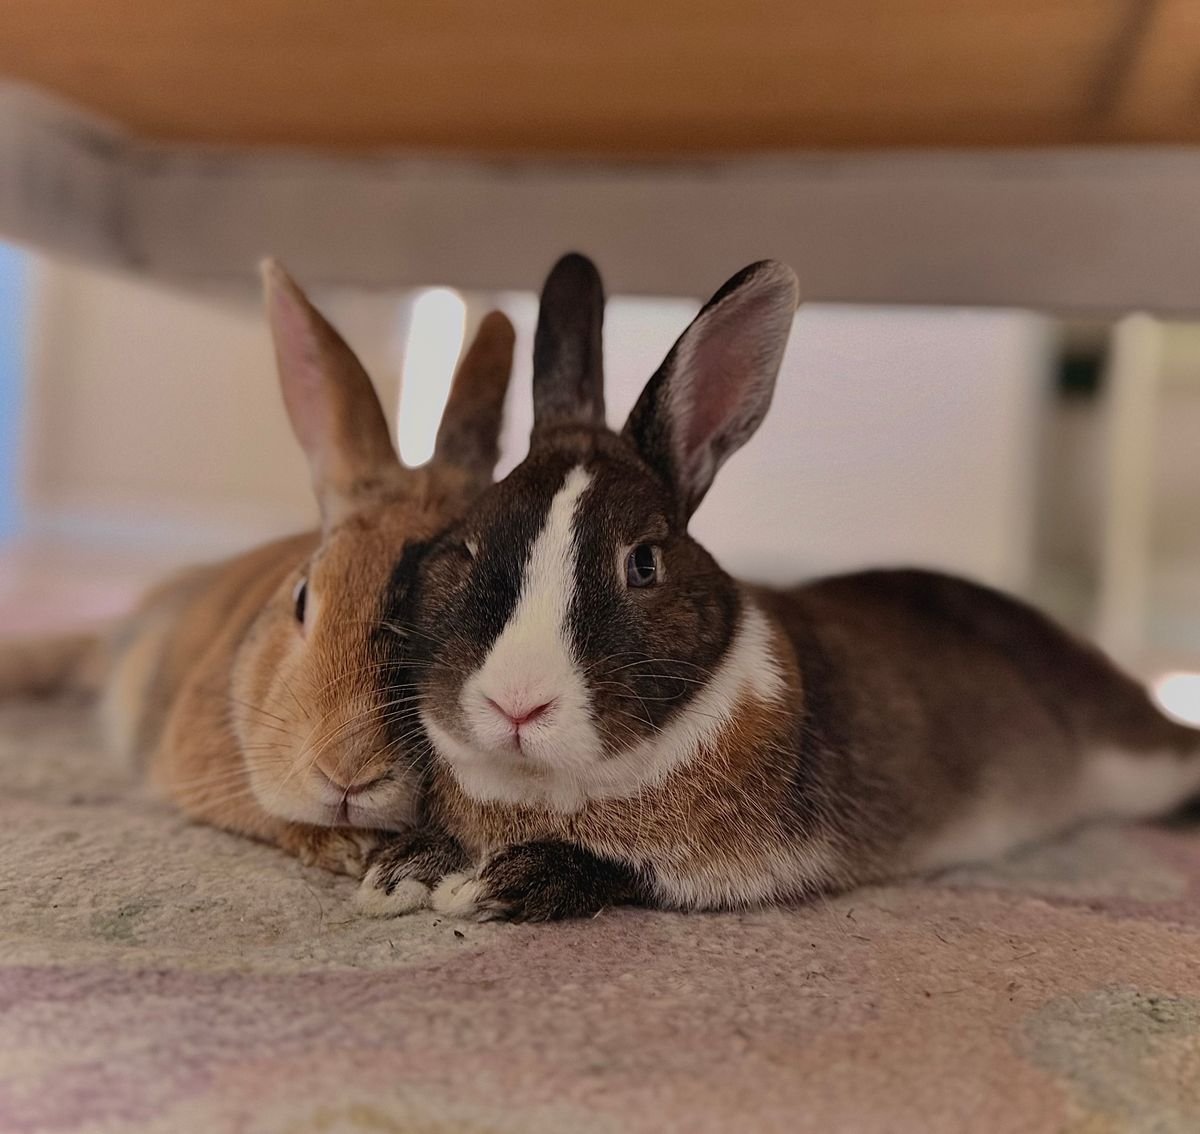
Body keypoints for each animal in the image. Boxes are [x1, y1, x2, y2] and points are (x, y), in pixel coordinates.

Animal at [357, 251, 1200, 920]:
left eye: (644, 564)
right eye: (467, 543)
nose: (517, 705)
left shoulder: (731, 865)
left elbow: (622, 872)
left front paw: (490, 887)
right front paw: (397, 872)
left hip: (1133, 757)